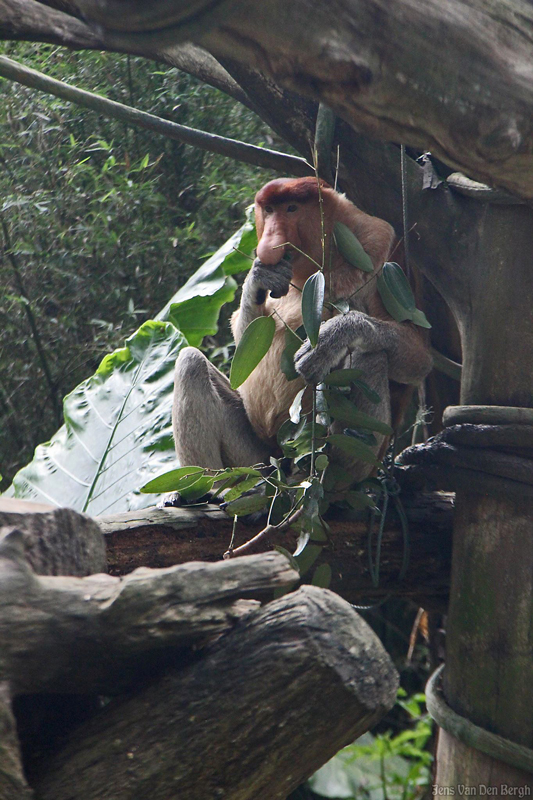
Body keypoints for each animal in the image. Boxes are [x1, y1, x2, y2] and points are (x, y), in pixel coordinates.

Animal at [171, 177, 432, 482]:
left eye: (292, 208)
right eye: (269, 210)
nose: (270, 240)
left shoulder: (383, 249)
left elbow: (418, 353)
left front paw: (331, 340)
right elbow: (246, 344)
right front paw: (260, 277)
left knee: (370, 354)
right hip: (256, 458)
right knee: (190, 362)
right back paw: (206, 487)